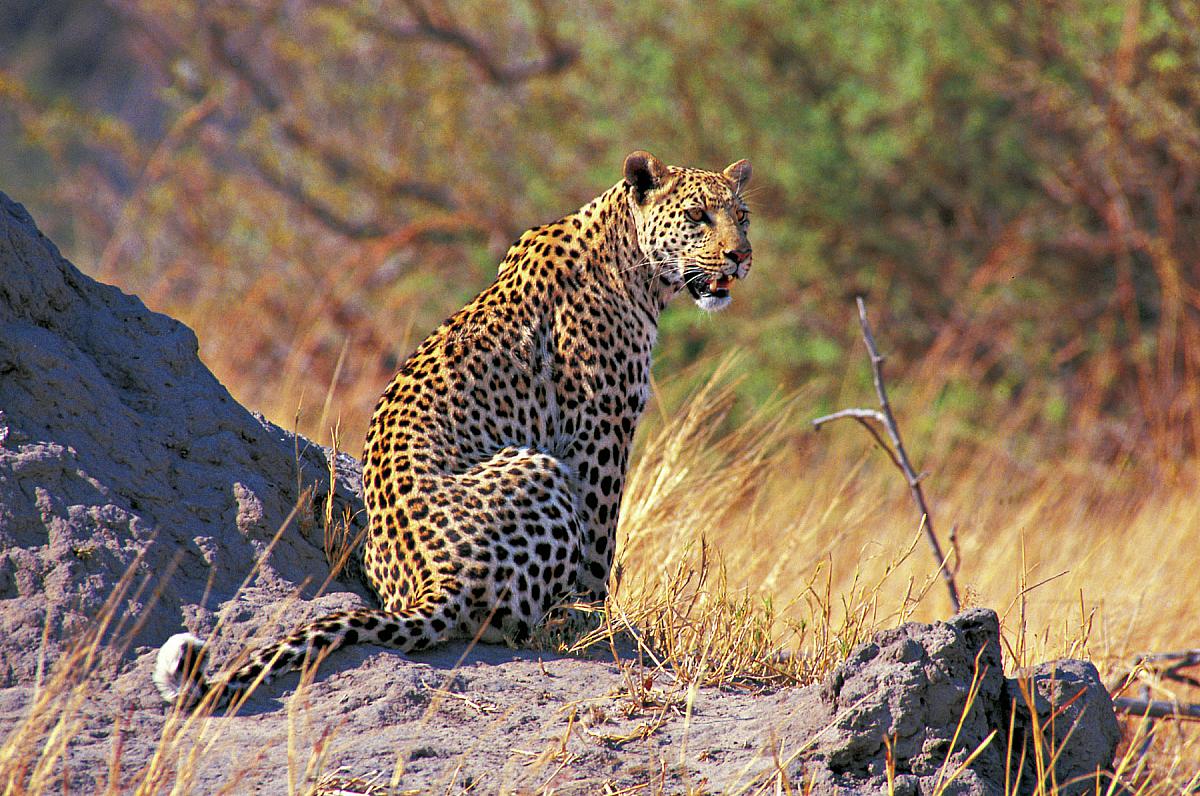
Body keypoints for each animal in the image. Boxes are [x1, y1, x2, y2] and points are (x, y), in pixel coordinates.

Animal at [154, 150, 753, 709]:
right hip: (537, 464)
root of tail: (438, 581)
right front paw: (598, 621)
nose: (740, 256)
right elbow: (600, 543)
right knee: (519, 624)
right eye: (697, 215)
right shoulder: (601, 431)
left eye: (742, 216)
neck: (635, 264)